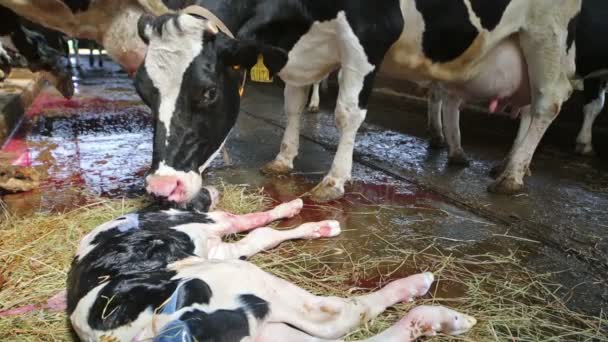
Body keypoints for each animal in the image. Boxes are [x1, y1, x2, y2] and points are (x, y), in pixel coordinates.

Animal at [66, 187, 476, 342]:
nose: (209, 190)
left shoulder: (218, 245)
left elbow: (261, 234)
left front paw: (306, 219)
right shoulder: (215, 229)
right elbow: (257, 225)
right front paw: (304, 216)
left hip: (265, 329)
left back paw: (442, 319)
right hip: (245, 283)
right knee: (338, 317)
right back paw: (420, 288)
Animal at [135, 0, 580, 206]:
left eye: (208, 91)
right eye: (143, 90)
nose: (161, 186)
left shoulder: (369, 33)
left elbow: (347, 113)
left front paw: (333, 181)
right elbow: (292, 105)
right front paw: (283, 159)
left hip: (547, 33)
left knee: (548, 102)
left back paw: (513, 175)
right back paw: (492, 160)